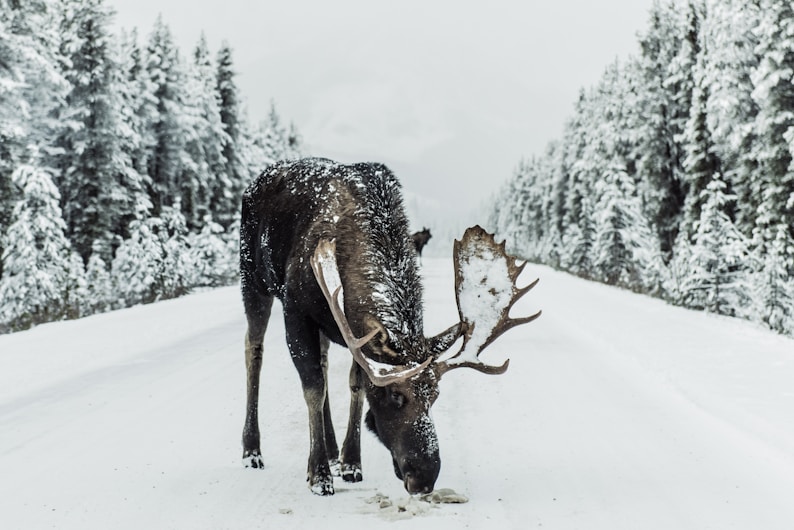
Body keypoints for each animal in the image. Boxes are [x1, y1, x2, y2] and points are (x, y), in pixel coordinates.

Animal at [239, 158, 540, 495]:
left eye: (435, 395)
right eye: (396, 396)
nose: (424, 477)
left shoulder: (352, 331)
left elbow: (355, 385)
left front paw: (350, 462)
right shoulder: (296, 309)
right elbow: (313, 387)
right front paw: (318, 475)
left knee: (324, 361)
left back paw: (331, 450)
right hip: (252, 279)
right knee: (254, 350)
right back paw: (252, 451)